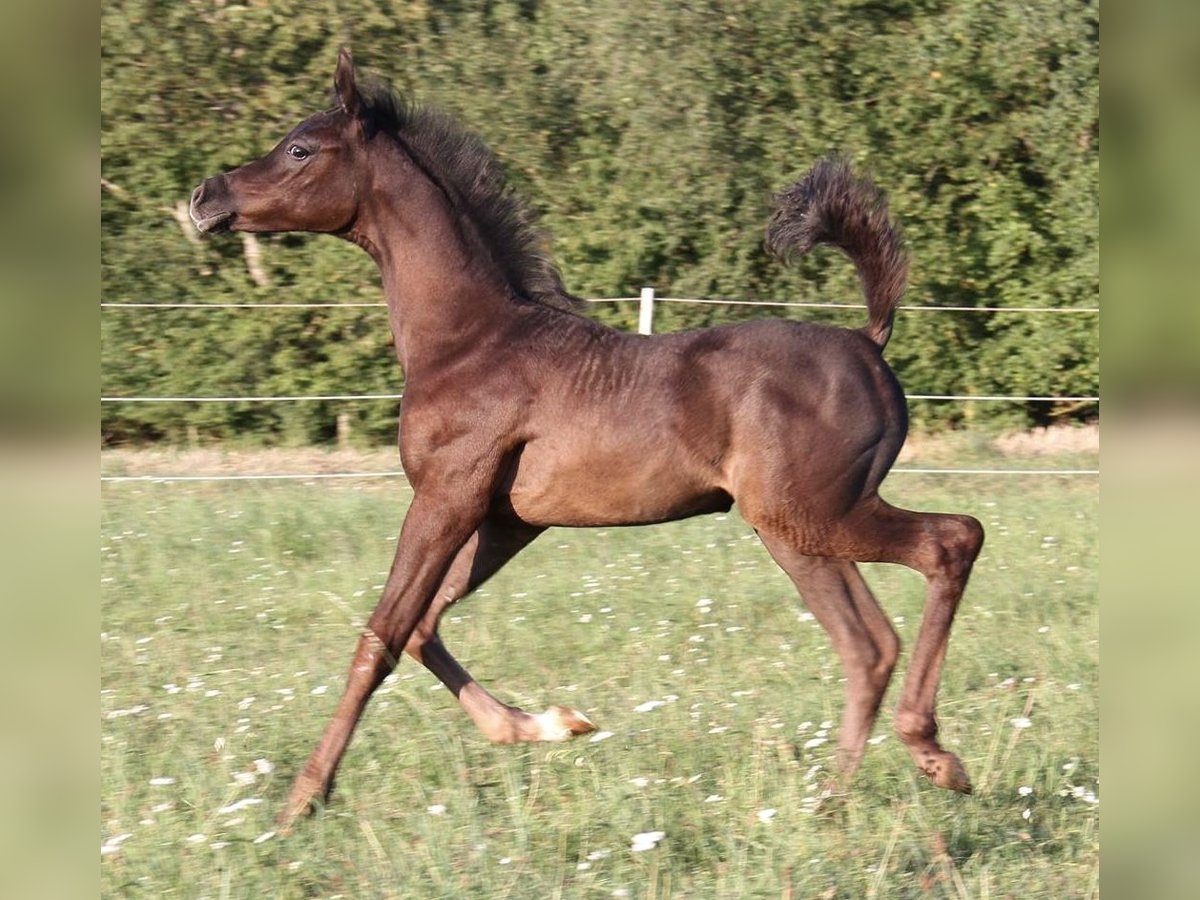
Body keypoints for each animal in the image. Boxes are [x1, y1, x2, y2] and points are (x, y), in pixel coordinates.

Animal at [192, 45, 984, 830]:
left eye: (299, 147)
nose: (205, 196)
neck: (469, 339)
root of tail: (869, 341)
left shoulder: (447, 494)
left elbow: (380, 638)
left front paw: (302, 800)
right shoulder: (507, 519)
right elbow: (422, 628)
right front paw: (548, 724)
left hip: (818, 512)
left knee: (952, 541)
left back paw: (934, 756)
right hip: (793, 530)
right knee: (867, 645)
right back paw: (830, 806)